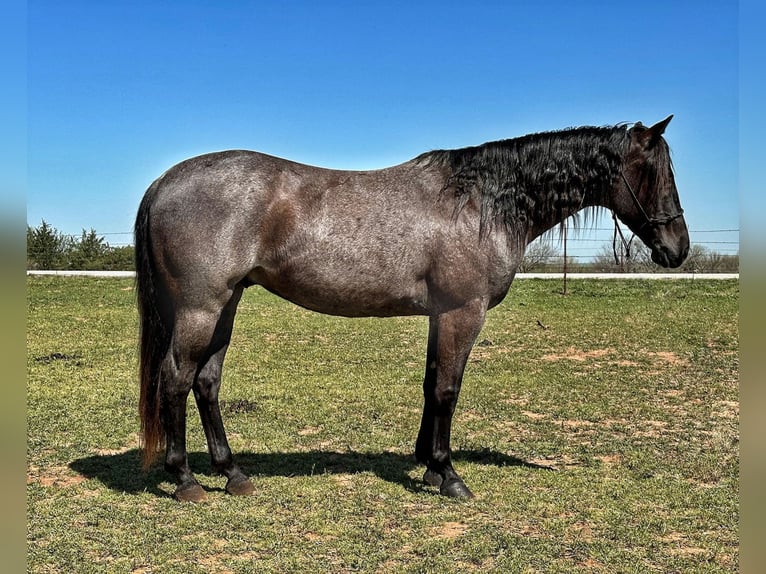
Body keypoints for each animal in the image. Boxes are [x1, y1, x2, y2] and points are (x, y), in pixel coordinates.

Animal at [134, 115, 688, 502]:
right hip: (201, 307)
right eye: (656, 172)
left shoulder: (441, 315)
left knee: (206, 382)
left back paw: (234, 474)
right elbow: (447, 389)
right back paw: (186, 480)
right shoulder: (464, 312)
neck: (480, 204)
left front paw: (427, 464)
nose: (677, 249)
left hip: (226, 304)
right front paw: (449, 475)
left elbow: (430, 383)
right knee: (176, 378)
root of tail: (164, 181)